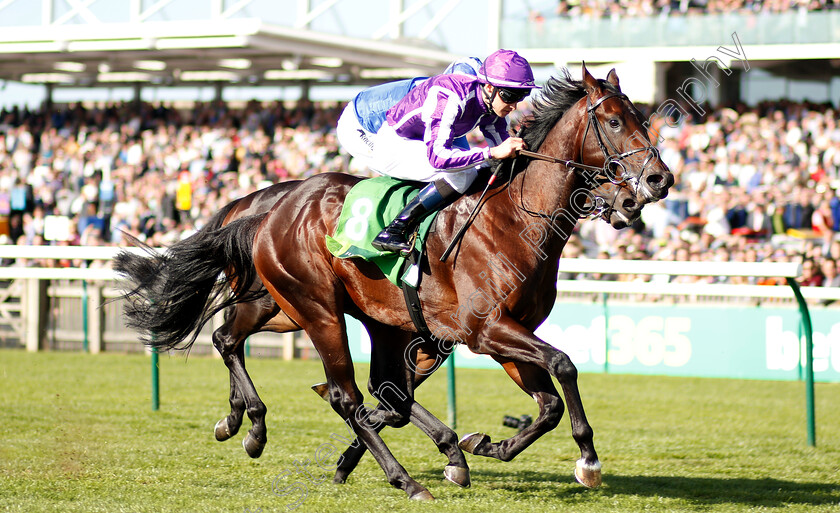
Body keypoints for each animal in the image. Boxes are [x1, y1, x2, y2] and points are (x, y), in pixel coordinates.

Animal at [115, 64, 672, 500]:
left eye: (644, 120)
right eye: (614, 121)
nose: (656, 182)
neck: (516, 218)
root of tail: (273, 207)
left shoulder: (502, 335)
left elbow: (549, 404)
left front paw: (488, 444)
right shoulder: (486, 330)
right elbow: (564, 364)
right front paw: (587, 461)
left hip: (310, 310)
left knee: (239, 341)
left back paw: (246, 424)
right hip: (316, 309)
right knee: (346, 395)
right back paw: (403, 477)